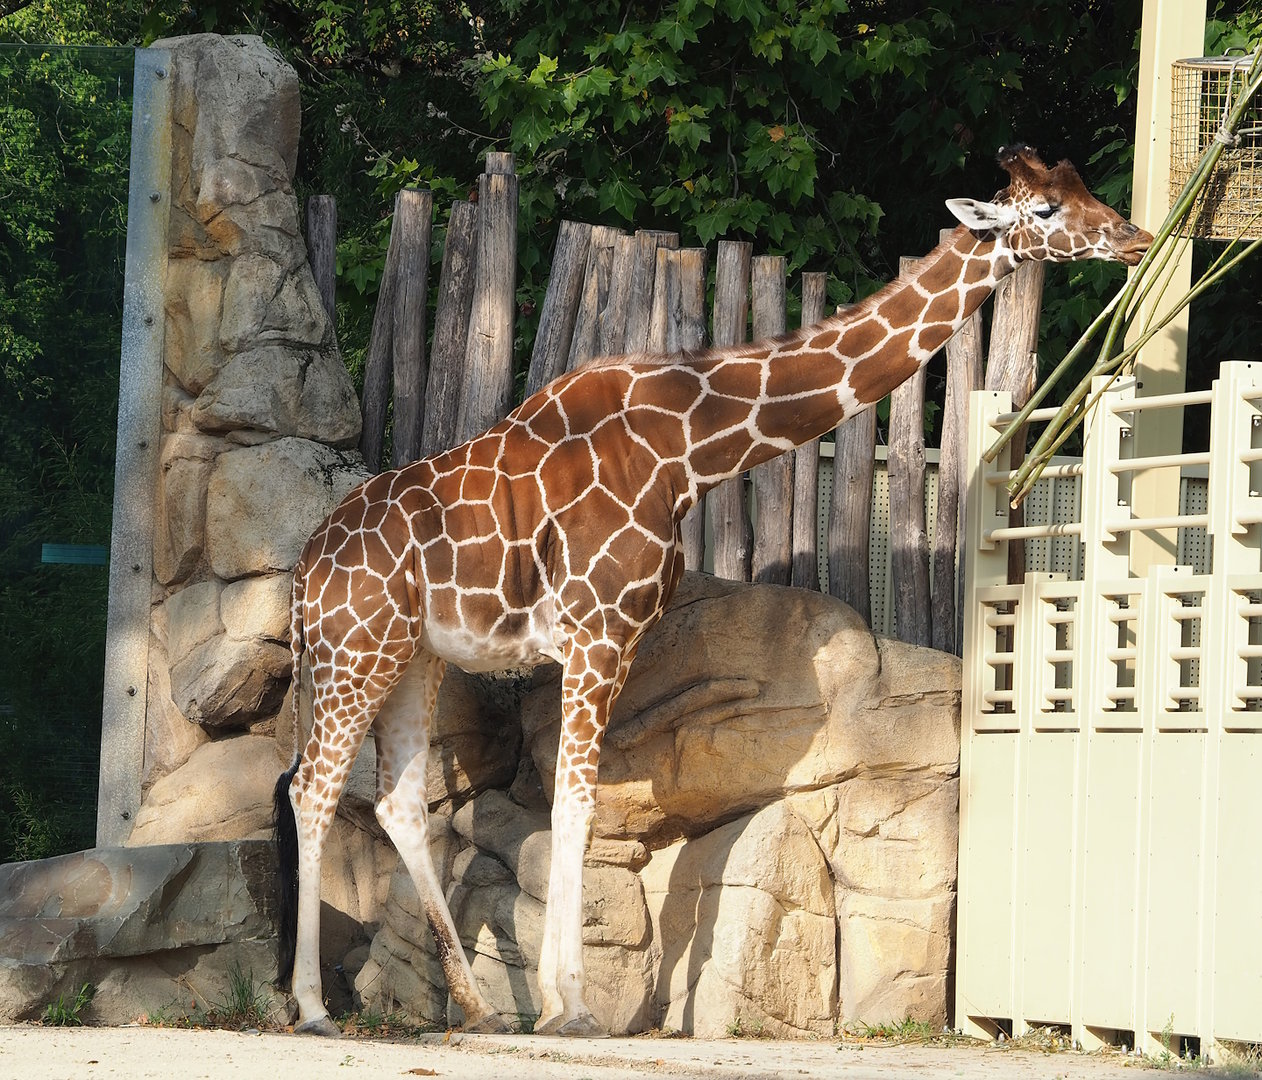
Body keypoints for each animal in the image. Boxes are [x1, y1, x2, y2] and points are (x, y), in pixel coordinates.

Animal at [273, 144, 1152, 1037]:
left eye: (1080, 190)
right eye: (1043, 210)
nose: (1136, 236)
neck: (689, 447)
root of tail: (307, 573)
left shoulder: (598, 642)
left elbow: (570, 809)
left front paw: (556, 1001)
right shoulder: (598, 634)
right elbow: (575, 809)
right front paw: (574, 1005)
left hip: (413, 657)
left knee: (398, 804)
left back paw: (479, 1006)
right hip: (358, 652)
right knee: (313, 787)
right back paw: (310, 1006)